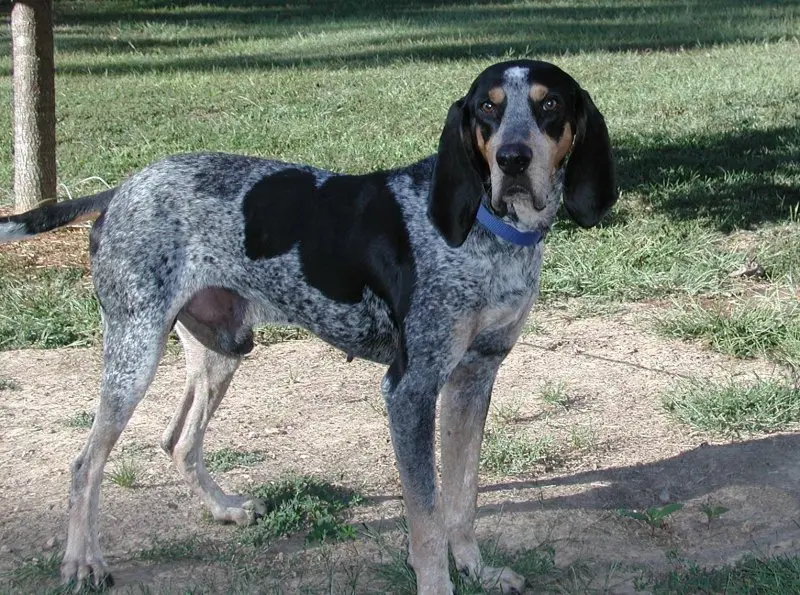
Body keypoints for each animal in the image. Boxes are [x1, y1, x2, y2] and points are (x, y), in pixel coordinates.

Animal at [0, 59, 616, 592]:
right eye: (488, 108)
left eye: (549, 104)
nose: (511, 160)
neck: (491, 234)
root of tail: (121, 188)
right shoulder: (410, 390)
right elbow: (427, 519)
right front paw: (439, 583)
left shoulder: (474, 378)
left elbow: (463, 499)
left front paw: (477, 571)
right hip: (134, 353)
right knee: (85, 465)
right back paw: (82, 562)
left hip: (220, 353)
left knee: (178, 441)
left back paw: (223, 509)